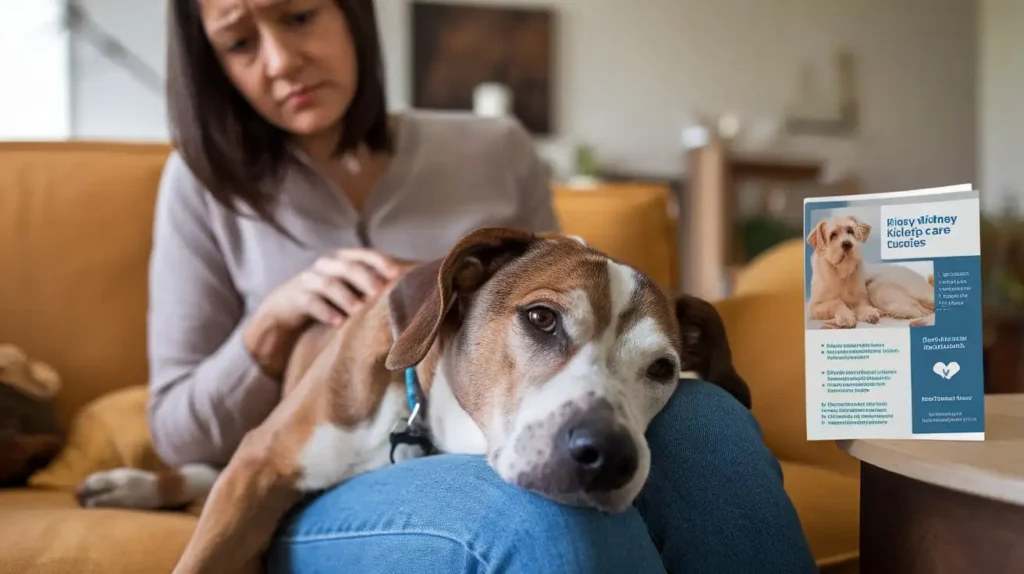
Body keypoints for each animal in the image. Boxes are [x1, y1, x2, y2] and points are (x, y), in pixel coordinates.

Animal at [806, 213, 937, 329]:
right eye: (833, 235)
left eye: (850, 231)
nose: (847, 244)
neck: (842, 273)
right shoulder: (814, 306)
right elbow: (836, 302)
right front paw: (846, 316)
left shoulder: (861, 297)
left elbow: (860, 304)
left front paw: (868, 313)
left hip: (876, 288)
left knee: (919, 311)